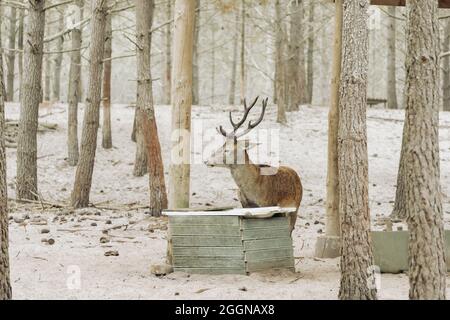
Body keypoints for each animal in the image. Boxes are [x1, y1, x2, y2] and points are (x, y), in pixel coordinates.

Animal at [207, 96, 304, 231]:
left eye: (227, 149)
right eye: (221, 146)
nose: (206, 160)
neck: (254, 190)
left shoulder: (267, 206)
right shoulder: (244, 204)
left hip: (295, 208)